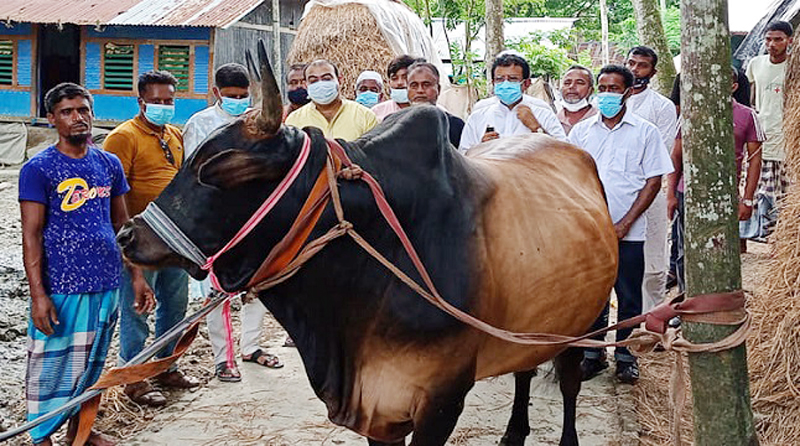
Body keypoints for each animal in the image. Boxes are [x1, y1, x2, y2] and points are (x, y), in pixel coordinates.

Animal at [117, 47, 620, 444]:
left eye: (224, 167)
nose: (127, 235)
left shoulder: (440, 400)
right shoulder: (380, 410)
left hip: (586, 319)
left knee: (569, 382)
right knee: (524, 370)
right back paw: (514, 433)